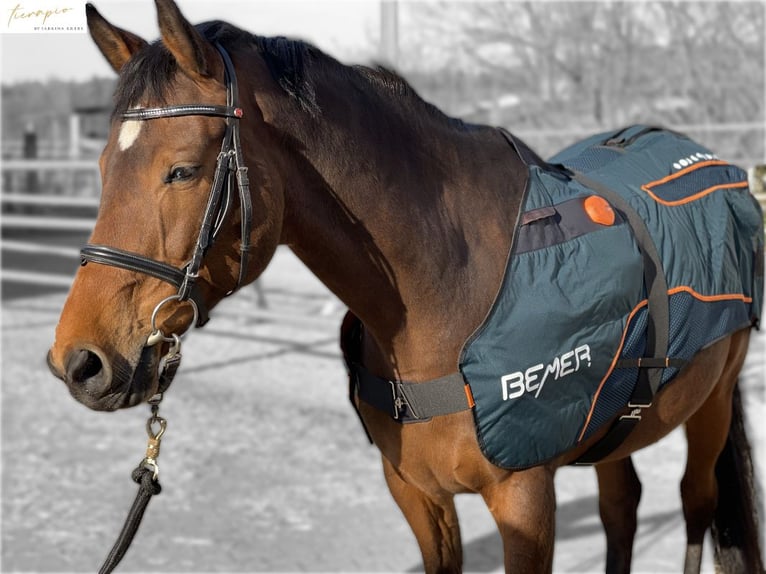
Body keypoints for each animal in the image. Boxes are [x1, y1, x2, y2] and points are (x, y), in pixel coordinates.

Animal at [47, 1, 765, 572]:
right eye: (103, 165)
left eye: (183, 170)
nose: (78, 361)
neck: (447, 293)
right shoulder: (418, 498)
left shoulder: (526, 502)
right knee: (622, 508)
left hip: (711, 402)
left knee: (696, 505)